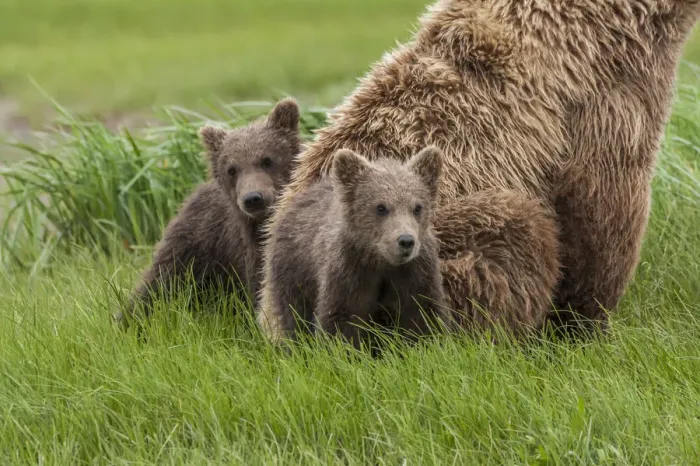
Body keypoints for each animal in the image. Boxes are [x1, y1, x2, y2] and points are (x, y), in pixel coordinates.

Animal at [116, 98, 301, 327]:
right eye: (232, 169)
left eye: (267, 160)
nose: (253, 198)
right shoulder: (246, 249)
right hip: (194, 244)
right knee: (160, 282)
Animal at [258, 146, 449, 348]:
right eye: (381, 207)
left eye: (418, 207)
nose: (405, 240)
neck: (382, 262)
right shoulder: (349, 273)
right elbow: (341, 320)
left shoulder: (416, 273)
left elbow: (422, 315)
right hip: (295, 270)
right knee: (294, 314)